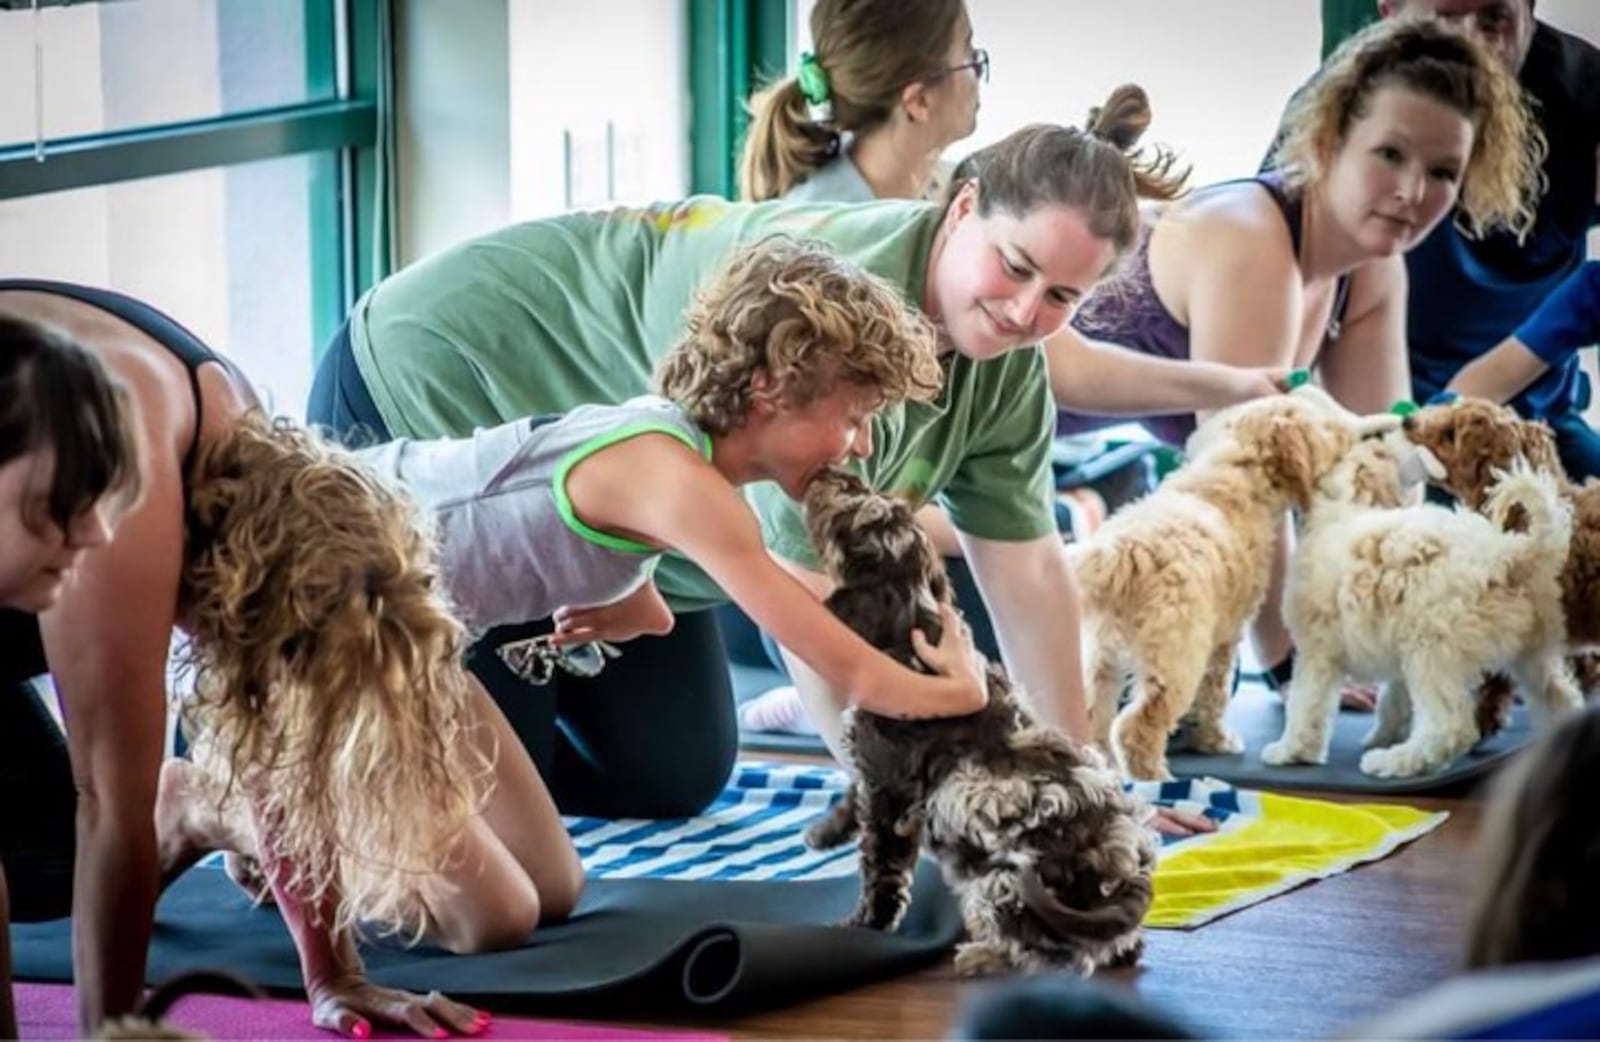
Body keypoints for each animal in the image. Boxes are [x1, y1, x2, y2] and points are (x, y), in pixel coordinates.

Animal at [806, 467, 1158, 973]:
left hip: (1003, 881)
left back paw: (982, 955)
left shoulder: (887, 790)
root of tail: (1121, 869)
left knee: (1047, 951)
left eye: (851, 504)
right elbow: (852, 798)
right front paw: (824, 831)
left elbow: (880, 868)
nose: (834, 472)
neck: (910, 633)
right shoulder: (875, 772)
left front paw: (861, 926)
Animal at [1075, 387, 1401, 777]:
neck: (1236, 469)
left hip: (1098, 657)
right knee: (1136, 726)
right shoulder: (1225, 637)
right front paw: (1215, 741)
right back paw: (1154, 776)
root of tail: (1124, 553)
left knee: (1092, 716)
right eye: (1328, 430)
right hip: (1175, 656)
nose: (1356, 433)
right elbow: (1213, 695)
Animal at [1267, 428, 1580, 774]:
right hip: (1532, 655)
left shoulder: (1317, 651)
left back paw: (1396, 761)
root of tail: (1514, 554)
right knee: (1562, 699)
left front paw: (1291, 750)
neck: (1349, 508)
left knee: (1449, 727)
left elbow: (1305, 703)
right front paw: (1382, 735)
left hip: (1431, 649)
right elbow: (1393, 700)